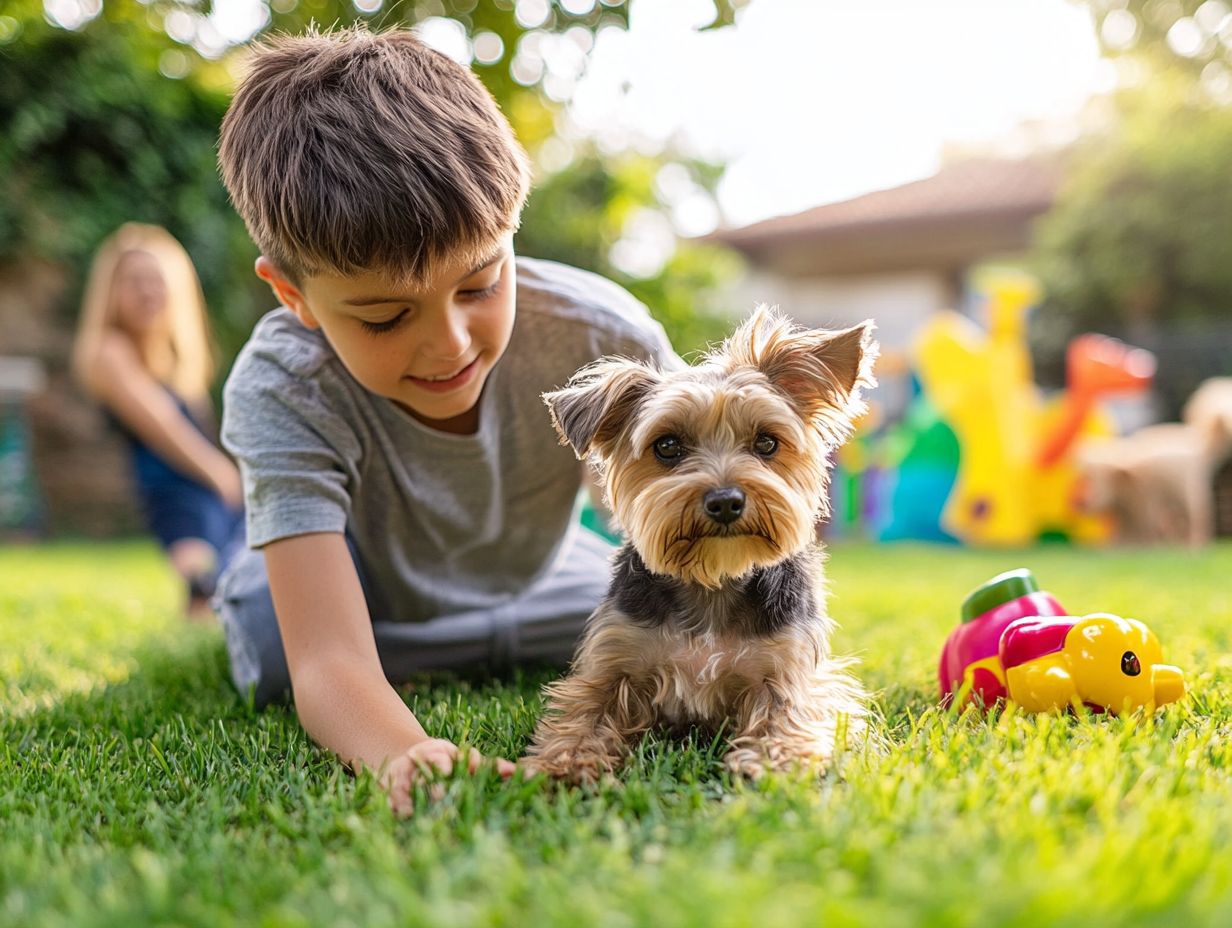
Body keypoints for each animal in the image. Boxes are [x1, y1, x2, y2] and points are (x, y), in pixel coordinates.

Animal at [524, 305, 882, 783]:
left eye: (767, 442)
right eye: (667, 445)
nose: (726, 501)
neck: (713, 578)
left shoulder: (788, 666)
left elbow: (785, 710)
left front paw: (772, 757)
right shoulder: (614, 660)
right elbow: (589, 710)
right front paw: (565, 760)